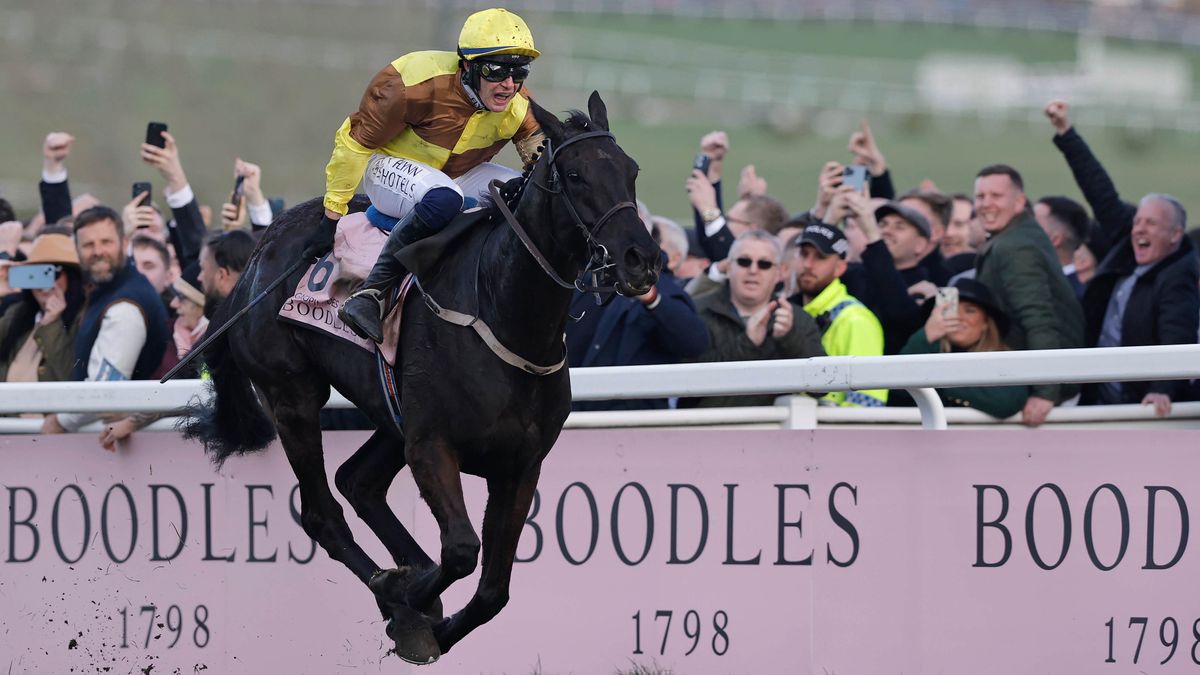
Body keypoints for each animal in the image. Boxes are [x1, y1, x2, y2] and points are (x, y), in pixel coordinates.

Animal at [182, 91, 662, 658]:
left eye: (631, 171)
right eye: (575, 174)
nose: (641, 259)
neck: (500, 309)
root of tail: (258, 260)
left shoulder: (520, 465)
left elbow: (493, 591)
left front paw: (424, 609)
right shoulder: (432, 445)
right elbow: (460, 550)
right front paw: (406, 601)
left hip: (392, 413)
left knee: (359, 481)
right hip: (292, 394)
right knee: (324, 512)